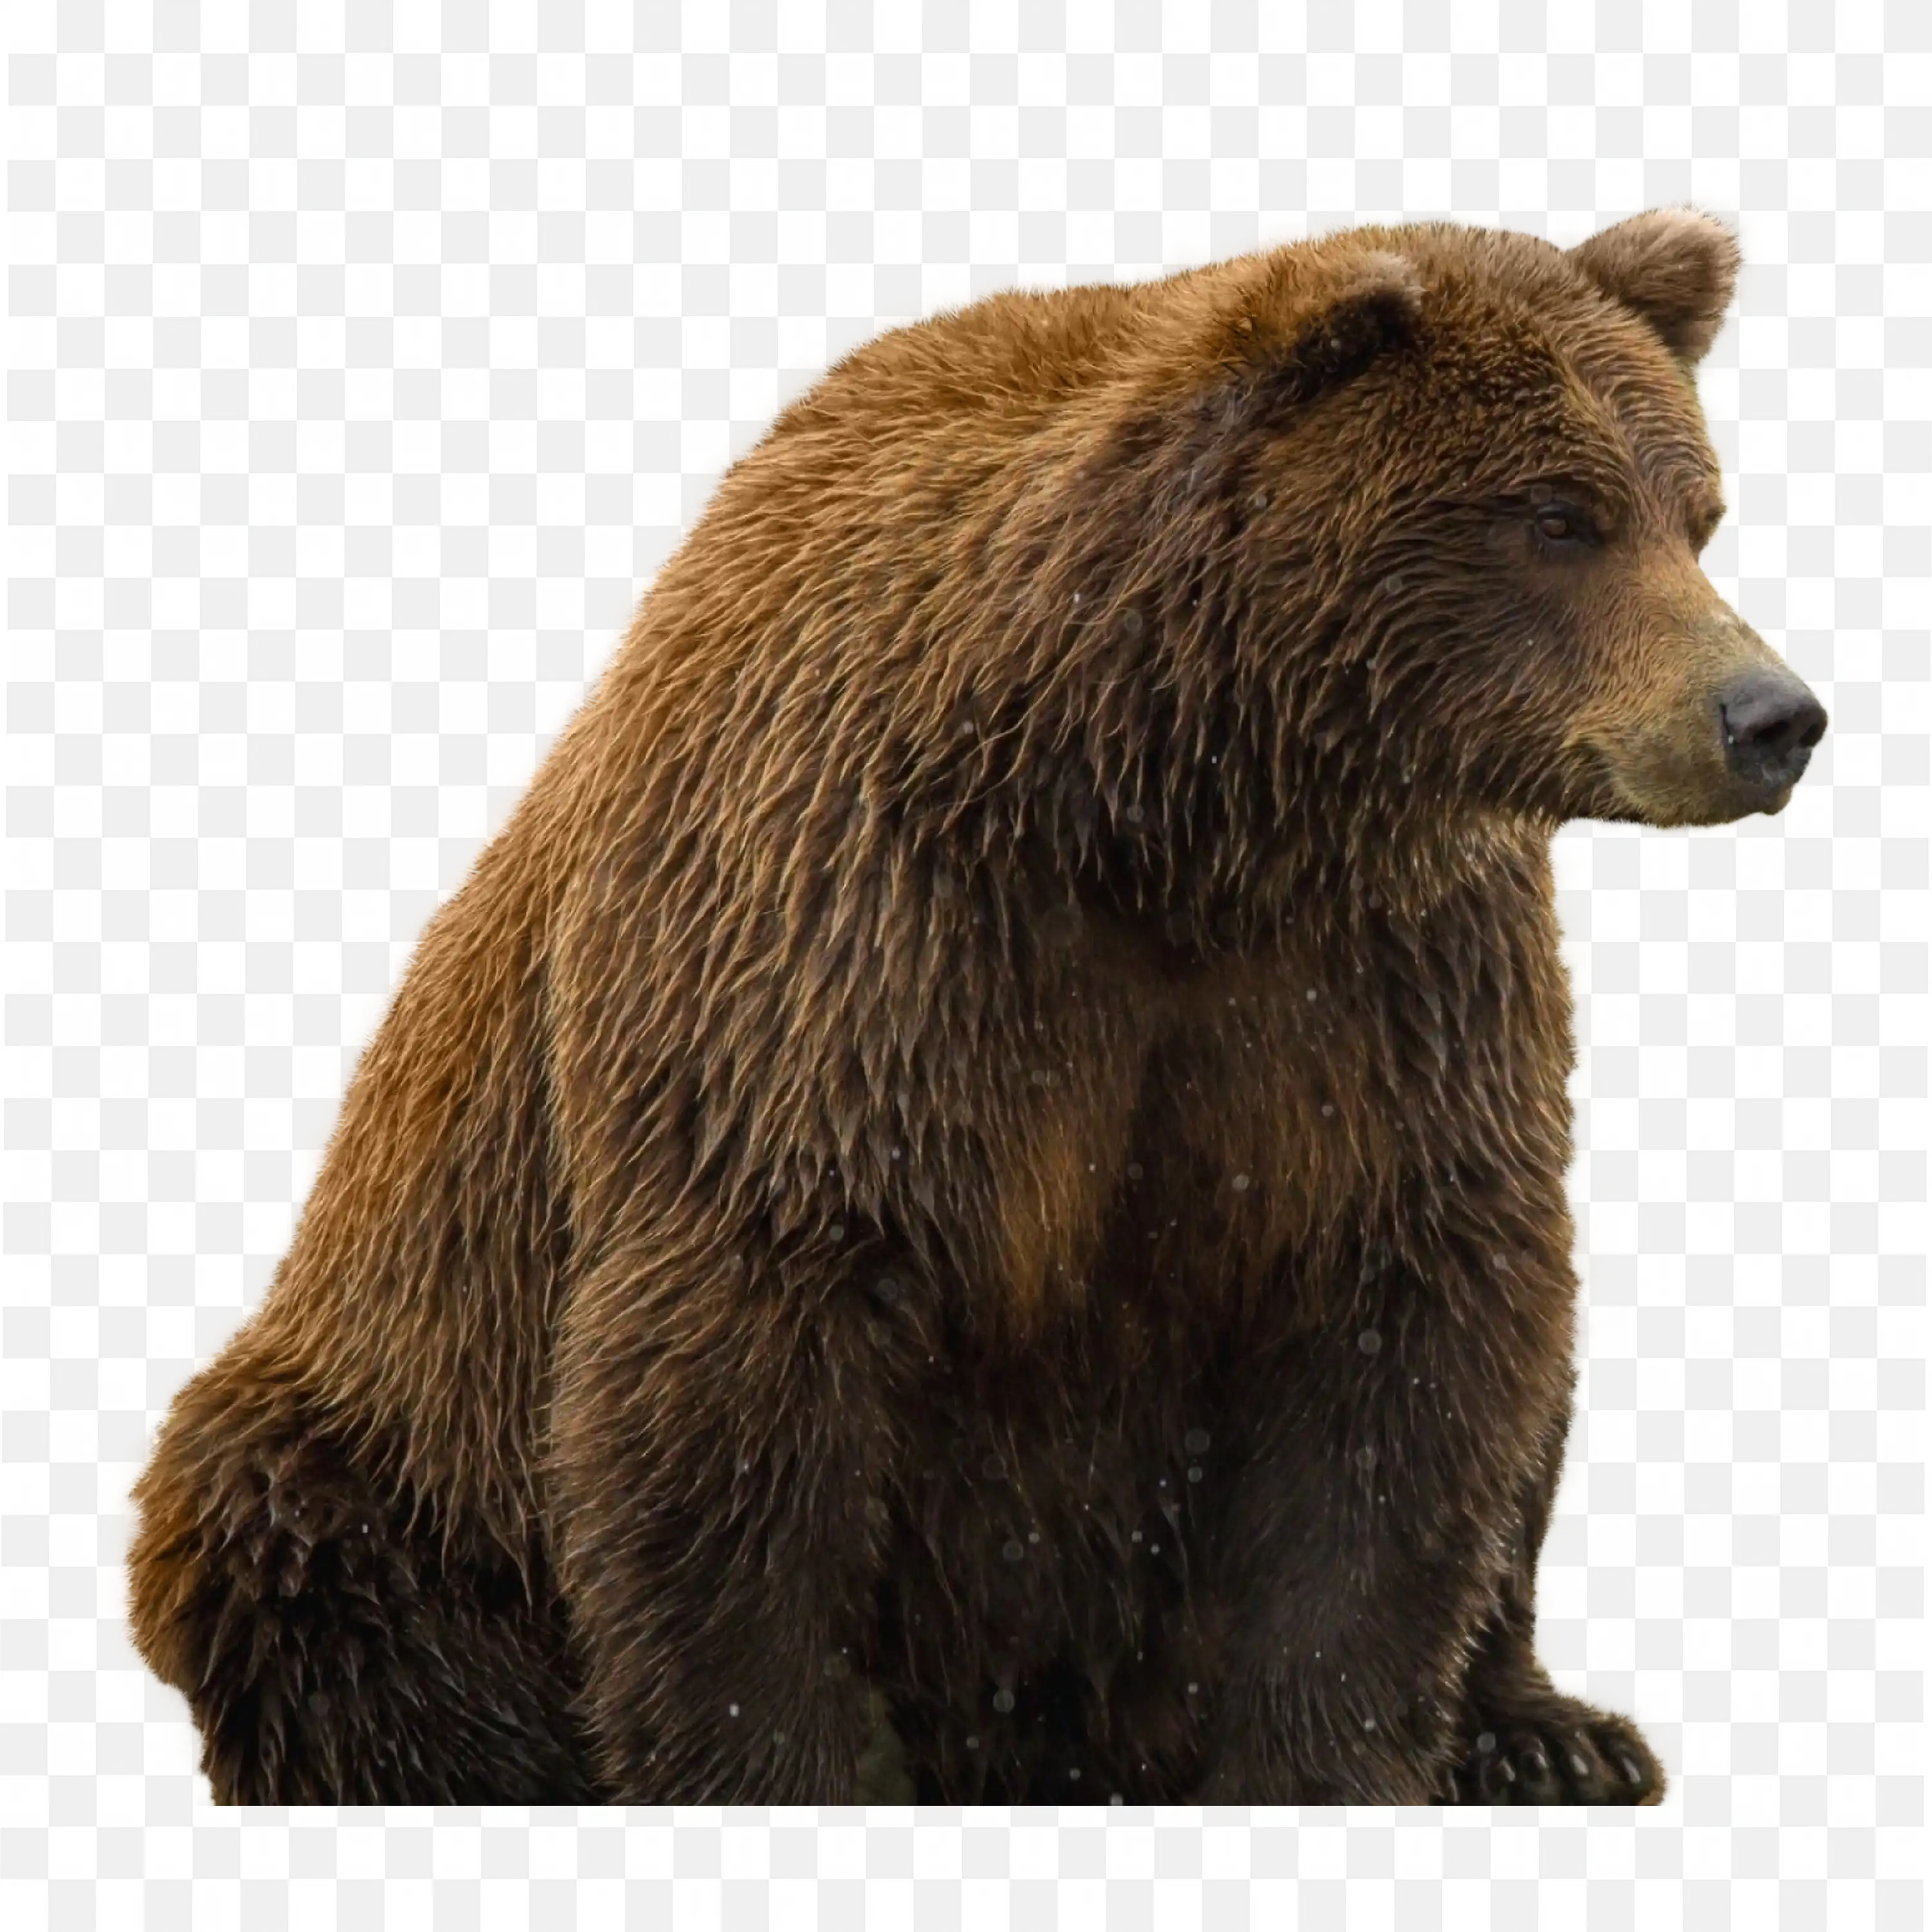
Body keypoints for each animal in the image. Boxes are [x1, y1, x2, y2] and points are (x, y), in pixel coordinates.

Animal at [123, 205, 1827, 1807]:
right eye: (1556, 514)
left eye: (1695, 510)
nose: (1769, 716)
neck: (1163, 809)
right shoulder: (843, 955)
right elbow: (740, 1395)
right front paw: (777, 1770)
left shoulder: (1376, 988)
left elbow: (1407, 1349)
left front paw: (1325, 1759)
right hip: (383, 1433)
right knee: (315, 1561)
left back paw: (1549, 1729)